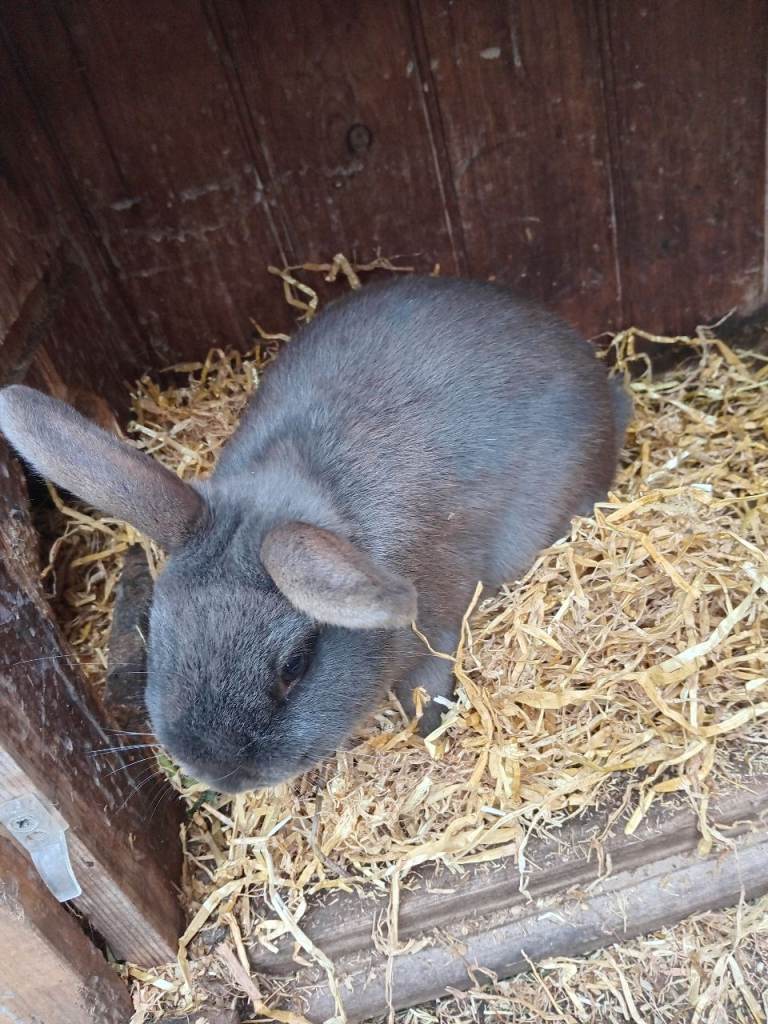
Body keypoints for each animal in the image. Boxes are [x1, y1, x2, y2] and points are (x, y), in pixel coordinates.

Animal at [0, 276, 631, 794]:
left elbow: (427, 681)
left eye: (295, 666)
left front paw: (427, 730)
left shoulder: (438, 621)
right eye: (155, 627)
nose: (218, 775)